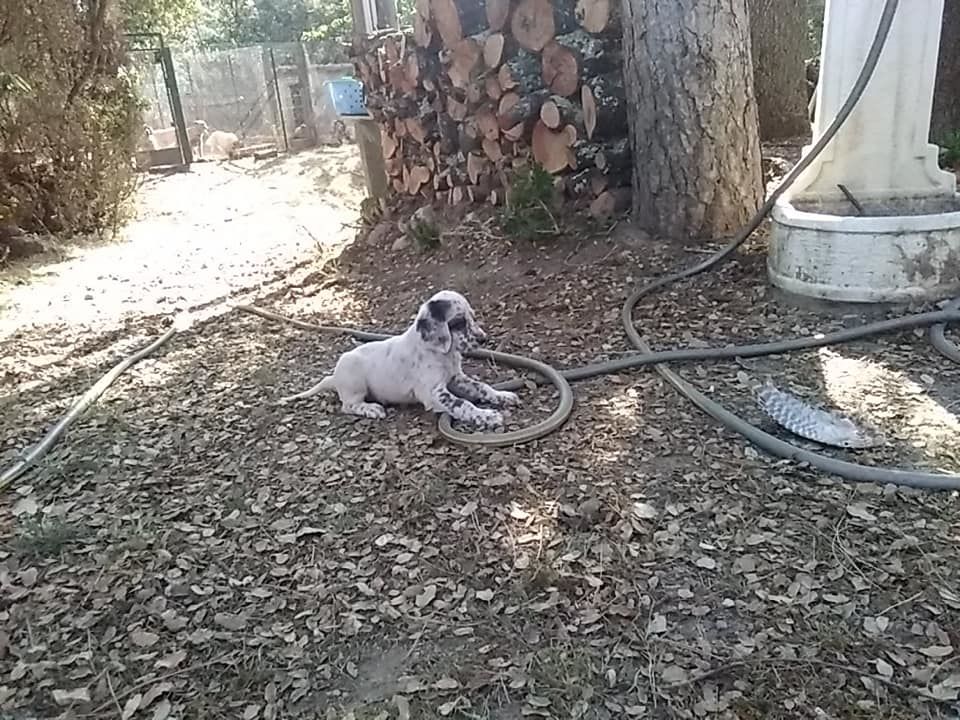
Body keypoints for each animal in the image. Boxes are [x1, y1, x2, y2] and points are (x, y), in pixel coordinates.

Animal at [278, 290, 516, 430]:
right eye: (458, 322)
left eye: (472, 317)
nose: (484, 339)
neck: (439, 352)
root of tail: (334, 378)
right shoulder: (433, 393)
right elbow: (462, 404)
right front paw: (487, 416)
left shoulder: (456, 378)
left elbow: (481, 386)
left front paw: (502, 396)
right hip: (354, 377)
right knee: (348, 405)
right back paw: (371, 409)